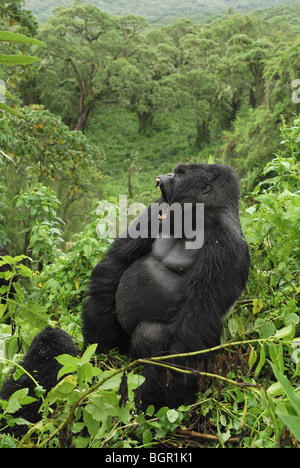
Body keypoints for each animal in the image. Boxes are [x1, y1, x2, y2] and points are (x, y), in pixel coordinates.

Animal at [0, 164, 251, 432]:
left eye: (181, 174)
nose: (167, 176)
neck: (201, 220)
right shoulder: (156, 208)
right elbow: (115, 264)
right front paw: (96, 338)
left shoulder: (224, 249)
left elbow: (194, 326)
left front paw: (151, 401)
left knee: (152, 334)